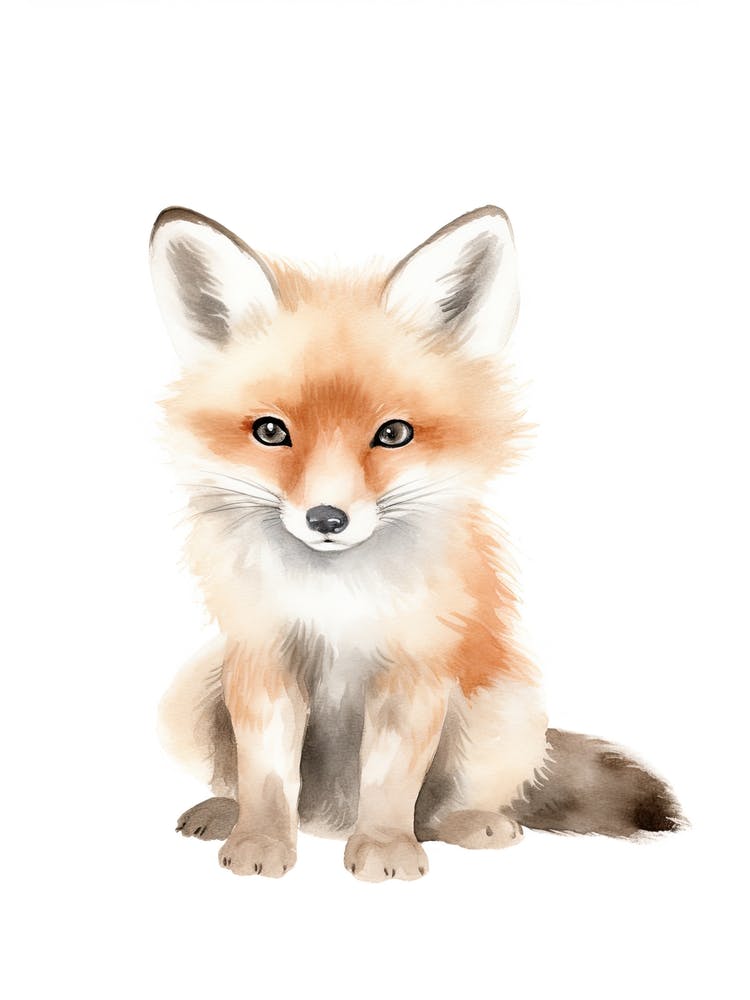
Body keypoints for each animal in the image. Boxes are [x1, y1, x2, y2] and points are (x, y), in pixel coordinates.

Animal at [151, 205, 684, 881]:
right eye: (270, 432)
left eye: (394, 434)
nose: (327, 518)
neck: (337, 597)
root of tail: (327, 820)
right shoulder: (263, 655)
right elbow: (265, 776)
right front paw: (261, 843)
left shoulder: (414, 666)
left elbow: (390, 782)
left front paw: (383, 849)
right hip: (195, 689)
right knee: (249, 785)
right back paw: (226, 812)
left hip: (506, 711)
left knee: (438, 813)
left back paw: (471, 825)